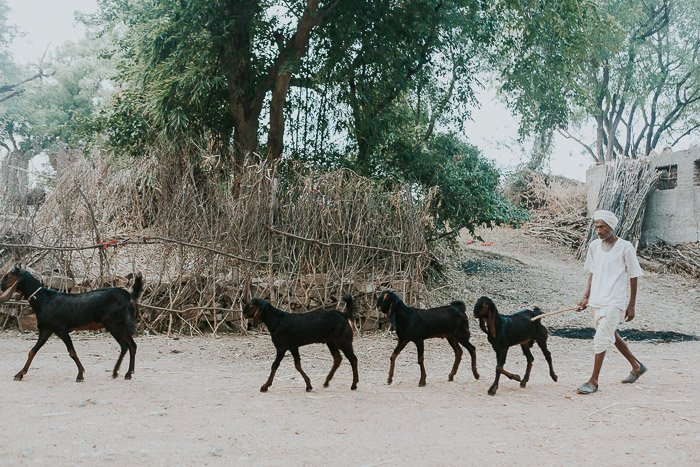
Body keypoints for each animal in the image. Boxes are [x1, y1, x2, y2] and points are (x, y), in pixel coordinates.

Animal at [0, 265, 143, 382]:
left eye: (11, 274)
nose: (1, 285)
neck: (43, 299)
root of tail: (129, 296)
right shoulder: (46, 330)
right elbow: (32, 351)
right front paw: (20, 374)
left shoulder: (61, 329)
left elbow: (72, 352)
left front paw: (80, 374)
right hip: (118, 325)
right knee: (129, 346)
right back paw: (120, 372)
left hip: (116, 324)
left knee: (128, 345)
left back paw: (125, 373)